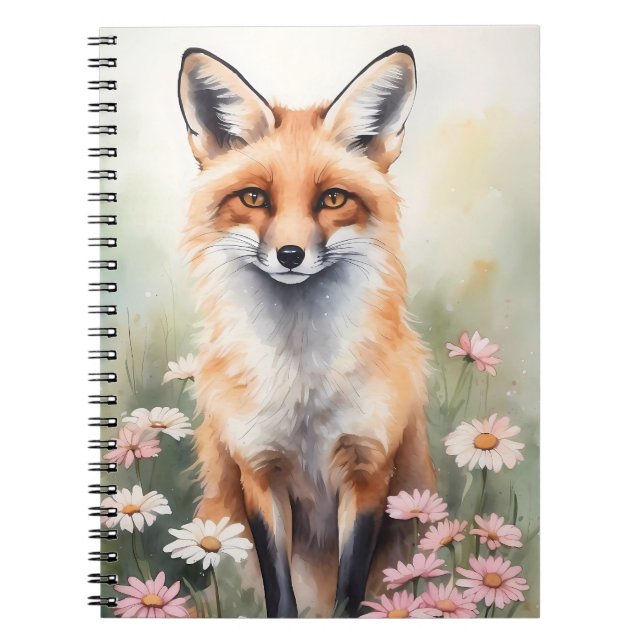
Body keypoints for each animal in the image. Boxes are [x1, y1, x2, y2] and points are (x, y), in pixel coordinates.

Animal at [177, 45, 436, 618]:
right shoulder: (259, 472)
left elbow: (348, 593)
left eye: (333, 199)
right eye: (254, 198)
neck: (302, 383)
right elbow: (281, 595)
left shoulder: (368, 470)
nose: (290, 255)